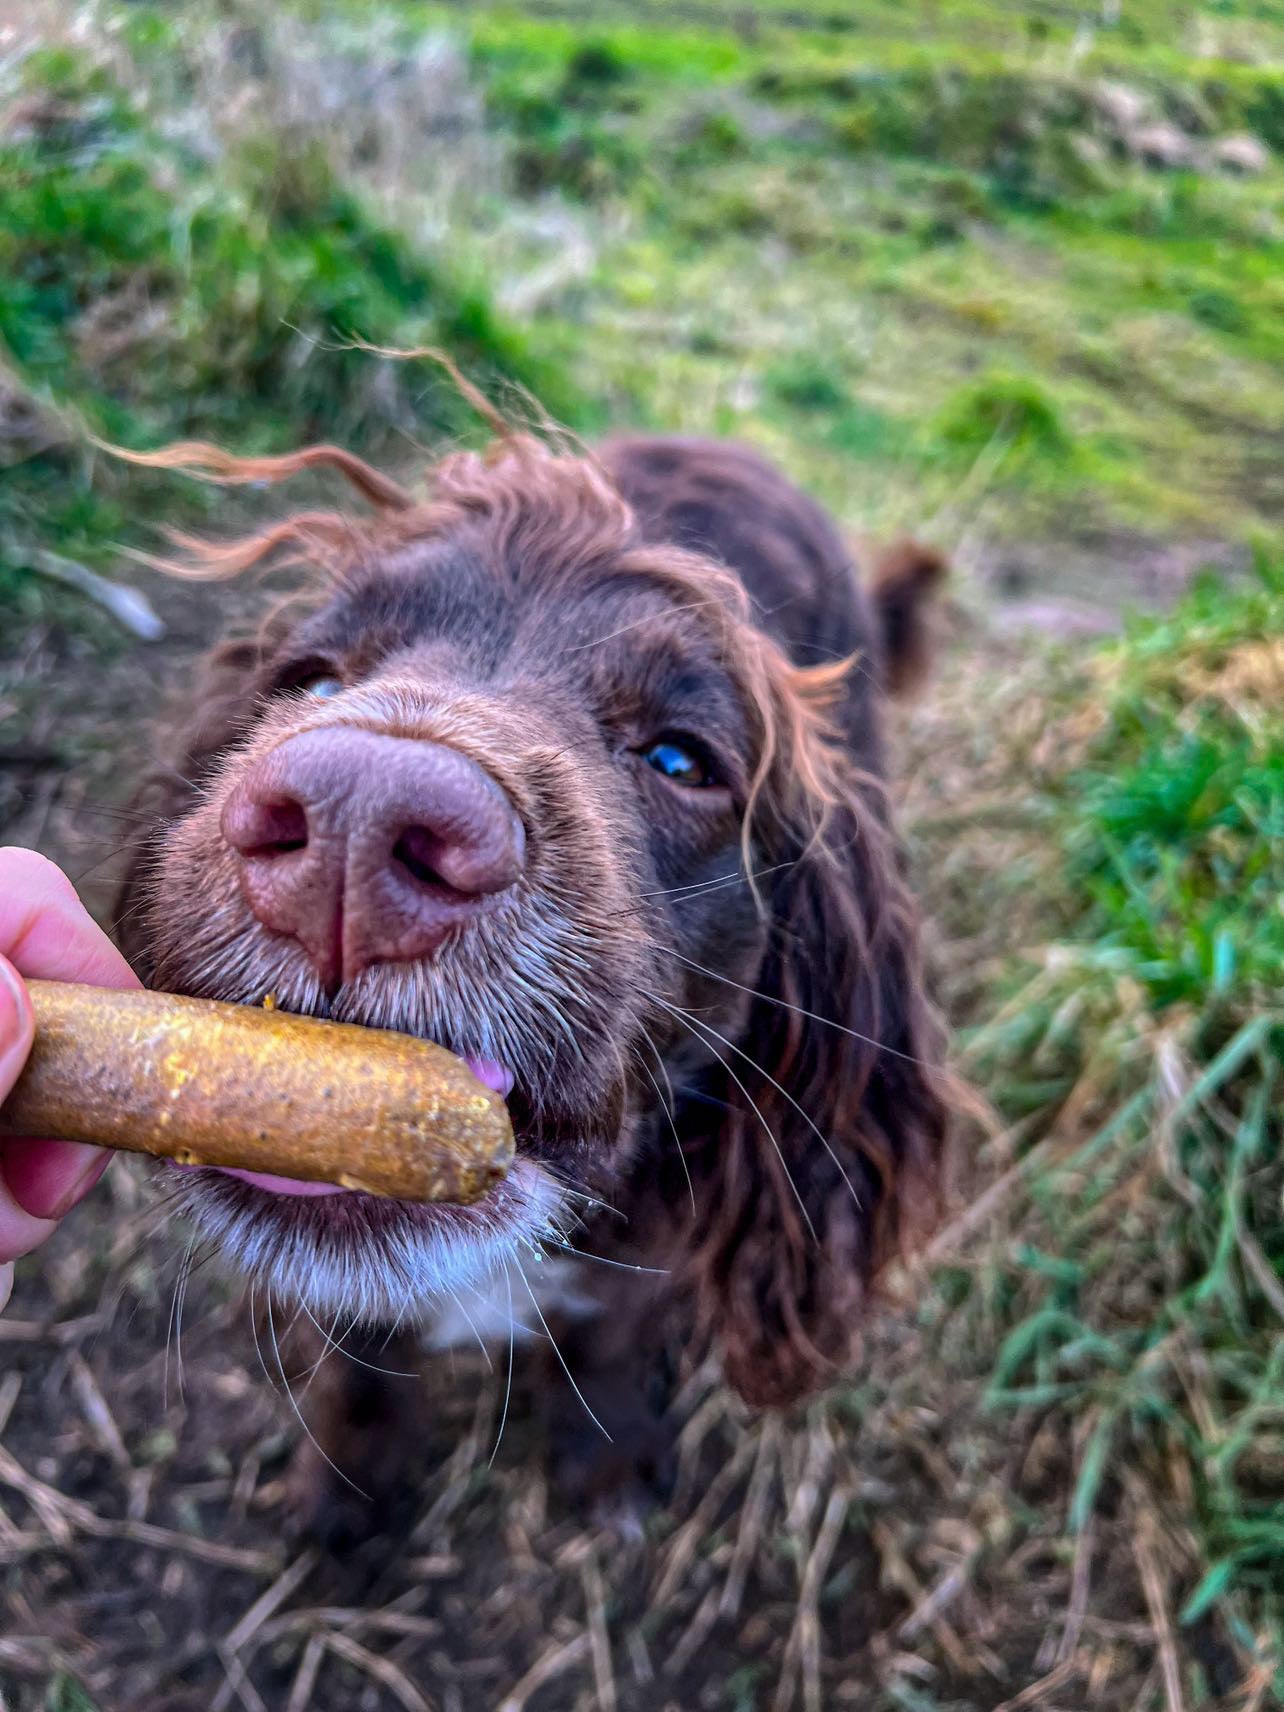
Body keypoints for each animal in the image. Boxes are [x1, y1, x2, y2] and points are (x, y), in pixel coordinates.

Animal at [115, 431, 958, 1540]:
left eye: (683, 757)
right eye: (312, 684)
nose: (355, 817)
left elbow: (604, 1335)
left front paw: (608, 1457)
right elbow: (360, 1364)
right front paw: (346, 1489)